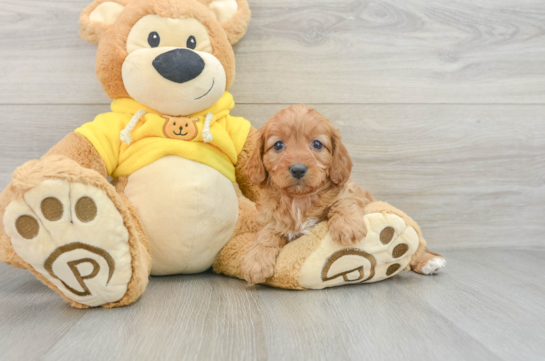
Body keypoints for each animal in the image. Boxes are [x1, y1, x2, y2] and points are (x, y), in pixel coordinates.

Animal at [241, 104, 374, 284]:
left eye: (317, 144)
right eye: (278, 145)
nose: (298, 169)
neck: (299, 199)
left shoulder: (353, 192)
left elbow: (343, 201)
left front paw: (347, 226)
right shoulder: (272, 218)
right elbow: (267, 232)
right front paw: (256, 261)